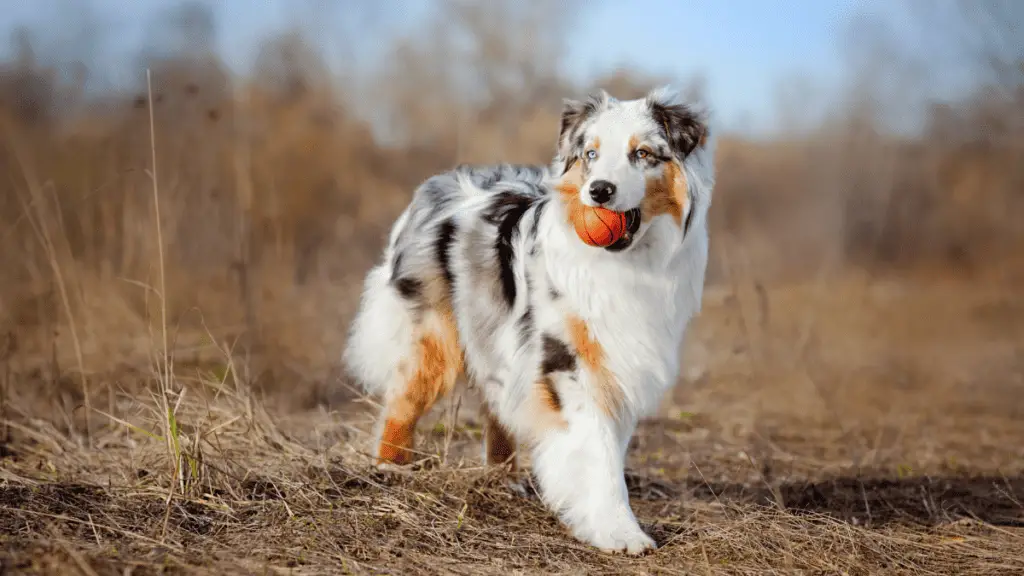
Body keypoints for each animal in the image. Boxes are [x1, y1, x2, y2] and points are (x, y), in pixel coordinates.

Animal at [344, 86, 712, 553]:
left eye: (642, 153)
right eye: (591, 154)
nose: (599, 191)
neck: (627, 262)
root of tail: (437, 184)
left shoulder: (618, 361)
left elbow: (608, 446)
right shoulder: (566, 361)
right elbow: (597, 452)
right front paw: (618, 531)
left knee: (496, 405)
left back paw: (505, 478)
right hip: (434, 336)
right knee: (403, 401)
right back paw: (390, 468)